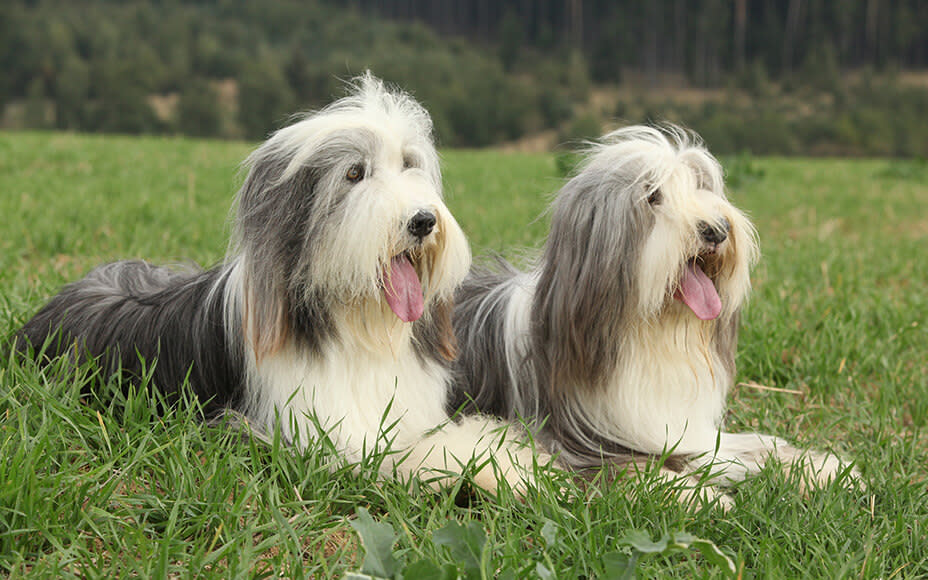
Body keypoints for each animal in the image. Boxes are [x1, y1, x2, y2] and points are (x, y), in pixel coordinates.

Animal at [16, 75, 544, 496]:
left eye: (409, 165)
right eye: (355, 173)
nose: (423, 220)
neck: (358, 330)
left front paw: (520, 463)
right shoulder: (311, 435)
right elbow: (405, 456)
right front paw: (498, 471)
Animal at [452, 125, 856, 502]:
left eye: (701, 187)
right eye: (653, 196)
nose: (717, 230)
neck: (650, 332)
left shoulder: (685, 431)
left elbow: (749, 448)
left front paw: (821, 468)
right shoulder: (574, 444)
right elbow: (634, 470)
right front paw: (700, 497)